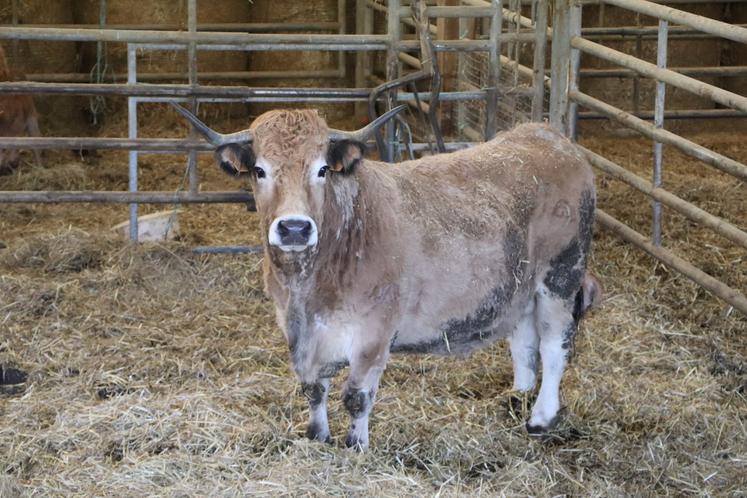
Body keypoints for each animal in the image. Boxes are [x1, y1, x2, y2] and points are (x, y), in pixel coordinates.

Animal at [174, 103, 600, 450]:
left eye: (322, 169)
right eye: (260, 170)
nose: (294, 227)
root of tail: (546, 135)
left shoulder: (374, 330)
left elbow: (356, 395)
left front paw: (355, 446)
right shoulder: (298, 331)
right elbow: (313, 389)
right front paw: (317, 436)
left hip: (561, 276)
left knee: (555, 345)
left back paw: (540, 418)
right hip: (520, 287)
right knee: (524, 341)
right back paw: (517, 398)